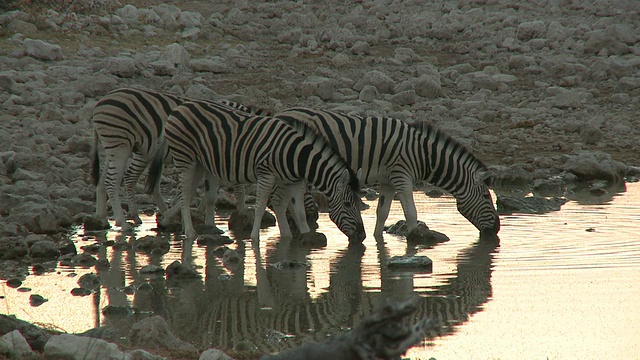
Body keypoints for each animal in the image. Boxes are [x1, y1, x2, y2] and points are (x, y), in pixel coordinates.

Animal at [89, 87, 272, 231]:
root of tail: (99, 103)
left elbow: (204, 192)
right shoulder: (227, 157)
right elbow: (234, 190)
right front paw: (241, 217)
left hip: (115, 147)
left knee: (104, 180)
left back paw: (103, 219)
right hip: (121, 146)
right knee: (116, 180)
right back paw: (125, 222)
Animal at [151, 100, 368, 243]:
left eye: (359, 203)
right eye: (348, 204)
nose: (362, 236)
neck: (297, 157)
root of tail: (179, 107)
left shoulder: (293, 182)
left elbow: (298, 211)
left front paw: (304, 235)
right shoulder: (267, 174)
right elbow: (261, 205)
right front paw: (255, 238)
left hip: (199, 162)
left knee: (186, 193)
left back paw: (172, 220)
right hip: (184, 156)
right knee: (185, 192)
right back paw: (189, 232)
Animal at [274, 107, 500, 242]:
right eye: (485, 196)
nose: (497, 228)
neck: (423, 154)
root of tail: (279, 114)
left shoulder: (389, 182)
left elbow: (382, 212)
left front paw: (378, 240)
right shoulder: (403, 177)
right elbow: (411, 213)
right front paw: (414, 240)